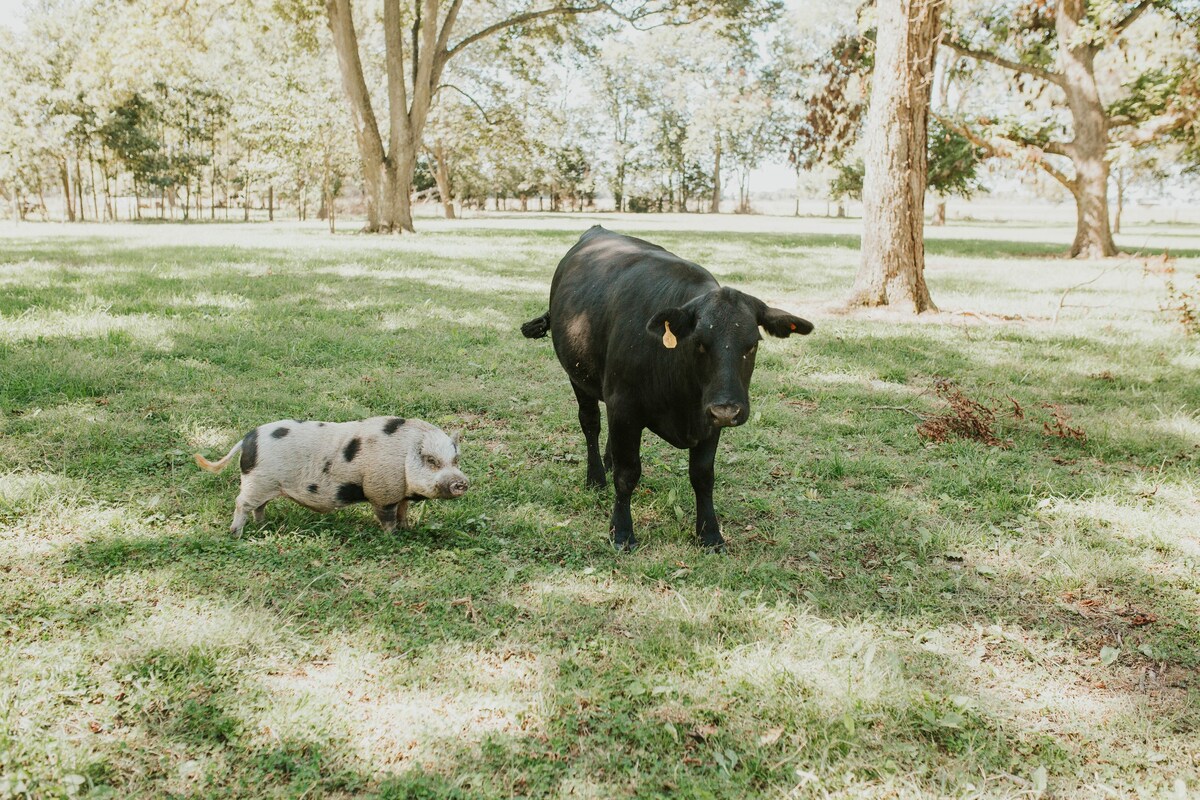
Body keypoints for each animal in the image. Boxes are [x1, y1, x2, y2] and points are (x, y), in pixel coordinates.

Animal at [193, 419, 468, 537]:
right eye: (431, 461)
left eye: (455, 460)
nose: (461, 482)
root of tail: (247, 439)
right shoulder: (381, 490)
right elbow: (387, 517)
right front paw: (394, 536)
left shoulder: (399, 493)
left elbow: (403, 511)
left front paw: (408, 528)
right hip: (256, 482)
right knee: (241, 504)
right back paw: (236, 534)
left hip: (266, 485)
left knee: (259, 506)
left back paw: (264, 525)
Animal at [520, 225, 811, 551]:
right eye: (699, 342)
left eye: (753, 344)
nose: (726, 410)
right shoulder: (625, 408)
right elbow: (627, 473)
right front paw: (622, 531)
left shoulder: (705, 421)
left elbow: (703, 476)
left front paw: (710, 533)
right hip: (579, 376)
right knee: (591, 424)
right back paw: (595, 476)